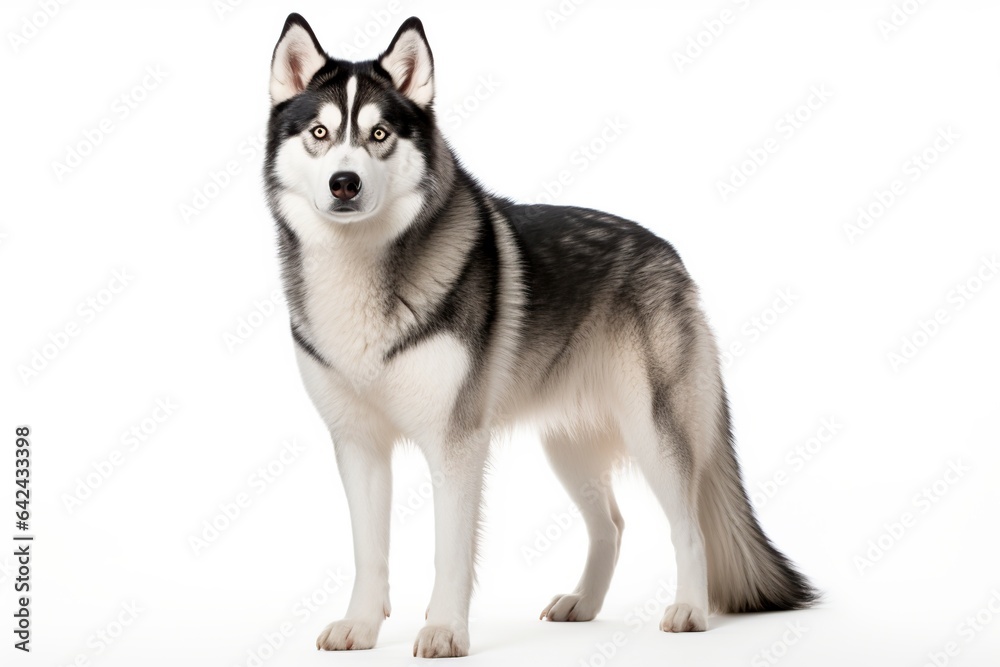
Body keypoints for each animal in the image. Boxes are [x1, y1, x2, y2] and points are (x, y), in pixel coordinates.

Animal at [266, 13, 820, 660]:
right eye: (320, 132)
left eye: (379, 134)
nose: (345, 183)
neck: (361, 271)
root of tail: (669, 255)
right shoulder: (357, 445)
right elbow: (367, 551)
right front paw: (360, 626)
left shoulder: (456, 444)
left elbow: (450, 552)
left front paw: (445, 630)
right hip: (568, 445)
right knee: (612, 525)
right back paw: (583, 603)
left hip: (657, 431)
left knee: (688, 526)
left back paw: (689, 610)